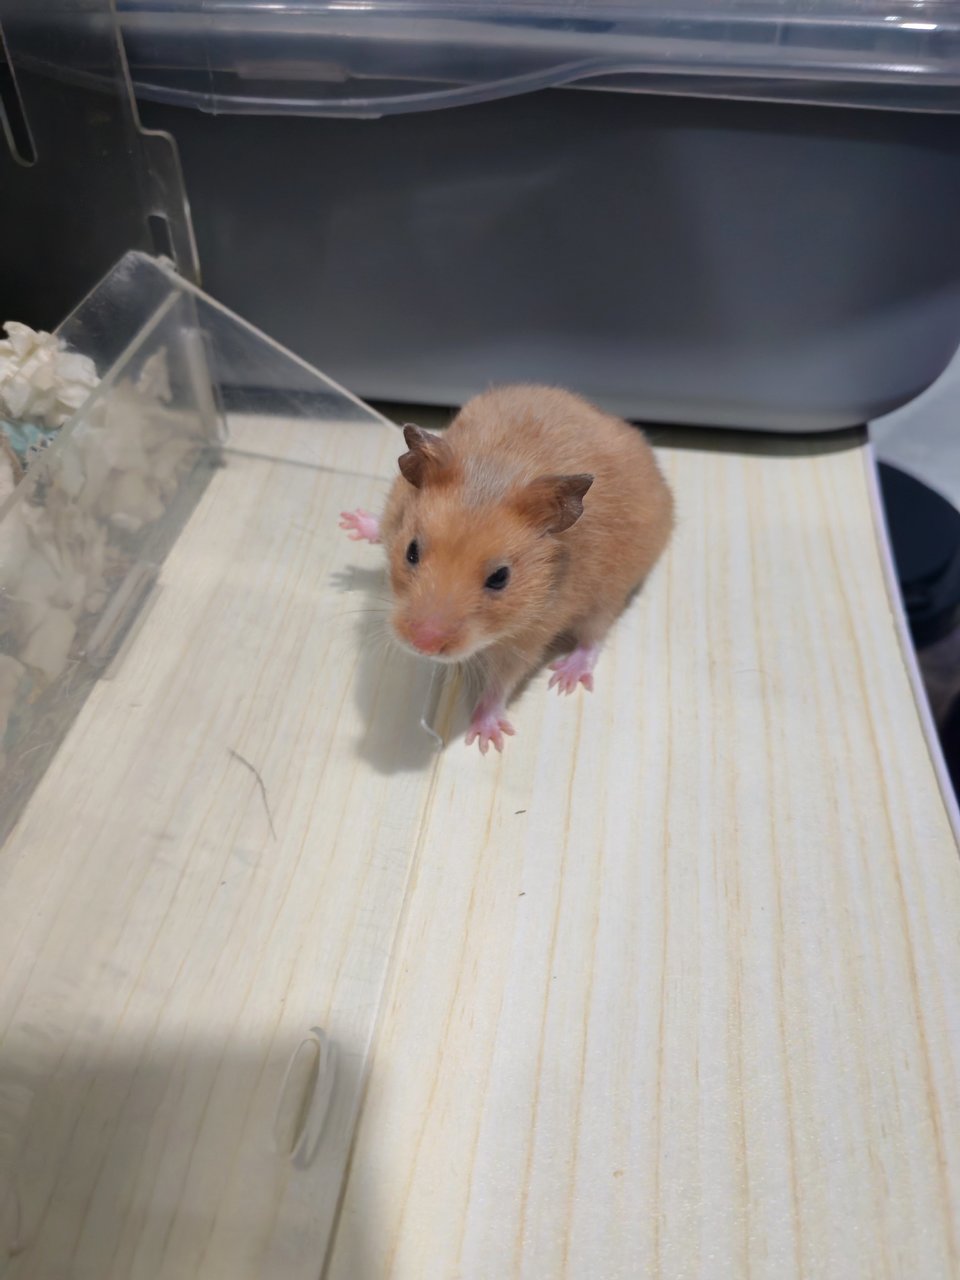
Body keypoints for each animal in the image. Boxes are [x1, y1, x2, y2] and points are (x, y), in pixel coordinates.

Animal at [340, 385, 673, 753]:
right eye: (411, 552)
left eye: (500, 578)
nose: (423, 645)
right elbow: (384, 528)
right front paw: (348, 533)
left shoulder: (530, 634)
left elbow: (501, 681)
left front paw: (485, 741)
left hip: (609, 593)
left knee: (593, 639)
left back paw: (565, 679)